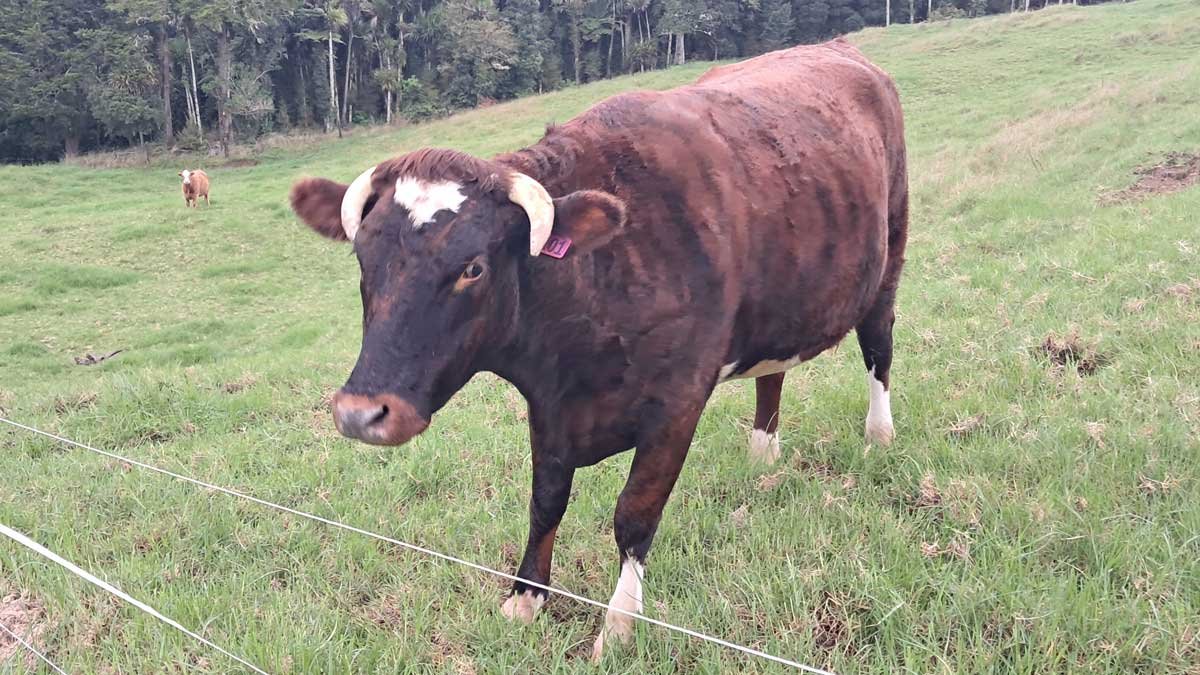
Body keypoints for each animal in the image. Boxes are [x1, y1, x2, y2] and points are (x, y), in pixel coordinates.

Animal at [289, 38, 907, 659]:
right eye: (363, 260)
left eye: (473, 268)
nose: (360, 413)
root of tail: (838, 48)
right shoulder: (549, 409)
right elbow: (546, 499)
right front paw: (526, 597)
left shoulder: (677, 402)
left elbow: (634, 514)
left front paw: (618, 625)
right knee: (772, 372)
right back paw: (762, 455)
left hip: (888, 263)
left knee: (878, 350)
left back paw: (879, 435)